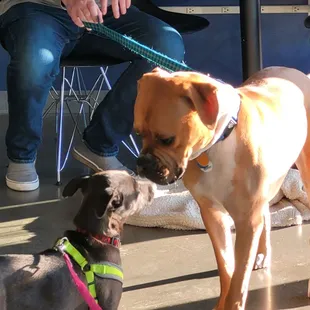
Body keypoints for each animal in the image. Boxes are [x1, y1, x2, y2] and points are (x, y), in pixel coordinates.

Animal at [135, 66, 310, 308]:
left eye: (167, 139)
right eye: (138, 133)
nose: (142, 163)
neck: (221, 142)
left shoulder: (247, 221)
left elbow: (239, 278)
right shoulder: (213, 214)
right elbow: (227, 267)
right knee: (265, 216)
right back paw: (263, 253)